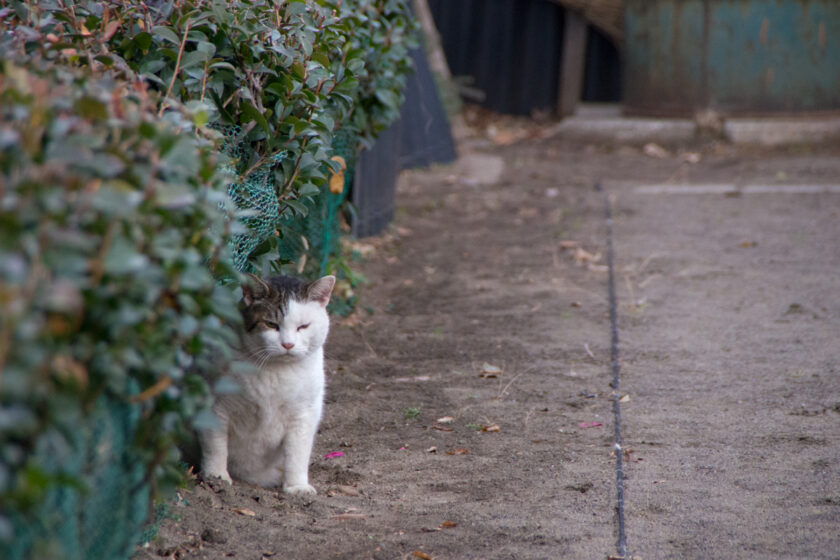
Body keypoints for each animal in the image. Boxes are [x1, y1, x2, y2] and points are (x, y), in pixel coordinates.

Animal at [200, 274, 334, 494]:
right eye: (271, 324)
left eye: (303, 326)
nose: (288, 344)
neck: (276, 370)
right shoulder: (215, 406)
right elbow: (216, 446)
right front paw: (216, 477)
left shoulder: (304, 414)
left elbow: (298, 453)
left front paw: (297, 487)